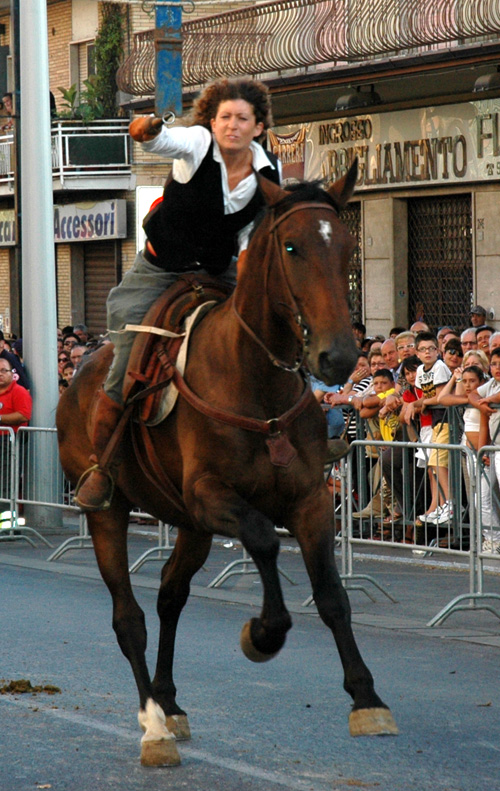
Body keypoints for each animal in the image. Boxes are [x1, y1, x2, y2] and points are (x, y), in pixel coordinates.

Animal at [55, 164, 398, 772]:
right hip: (109, 512)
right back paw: (154, 727)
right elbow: (261, 538)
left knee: (169, 597)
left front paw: (367, 698)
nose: (337, 357)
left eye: (346, 246)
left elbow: (333, 595)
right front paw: (263, 632)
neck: (254, 380)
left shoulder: (310, 500)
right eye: (291, 247)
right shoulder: (211, 496)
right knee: (129, 618)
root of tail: (79, 378)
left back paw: (169, 703)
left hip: (189, 527)